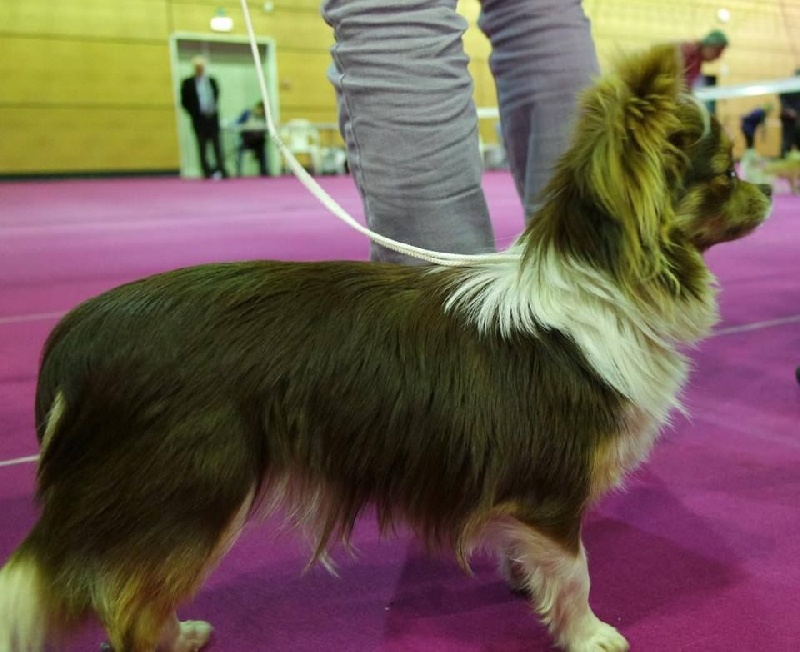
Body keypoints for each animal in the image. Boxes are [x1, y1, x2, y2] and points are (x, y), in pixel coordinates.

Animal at [0, 47, 772, 652]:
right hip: (195, 490)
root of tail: (74, 338)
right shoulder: (551, 492)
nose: (770, 187)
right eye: (729, 173)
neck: (604, 283)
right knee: (129, 612)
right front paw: (587, 635)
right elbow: (577, 572)